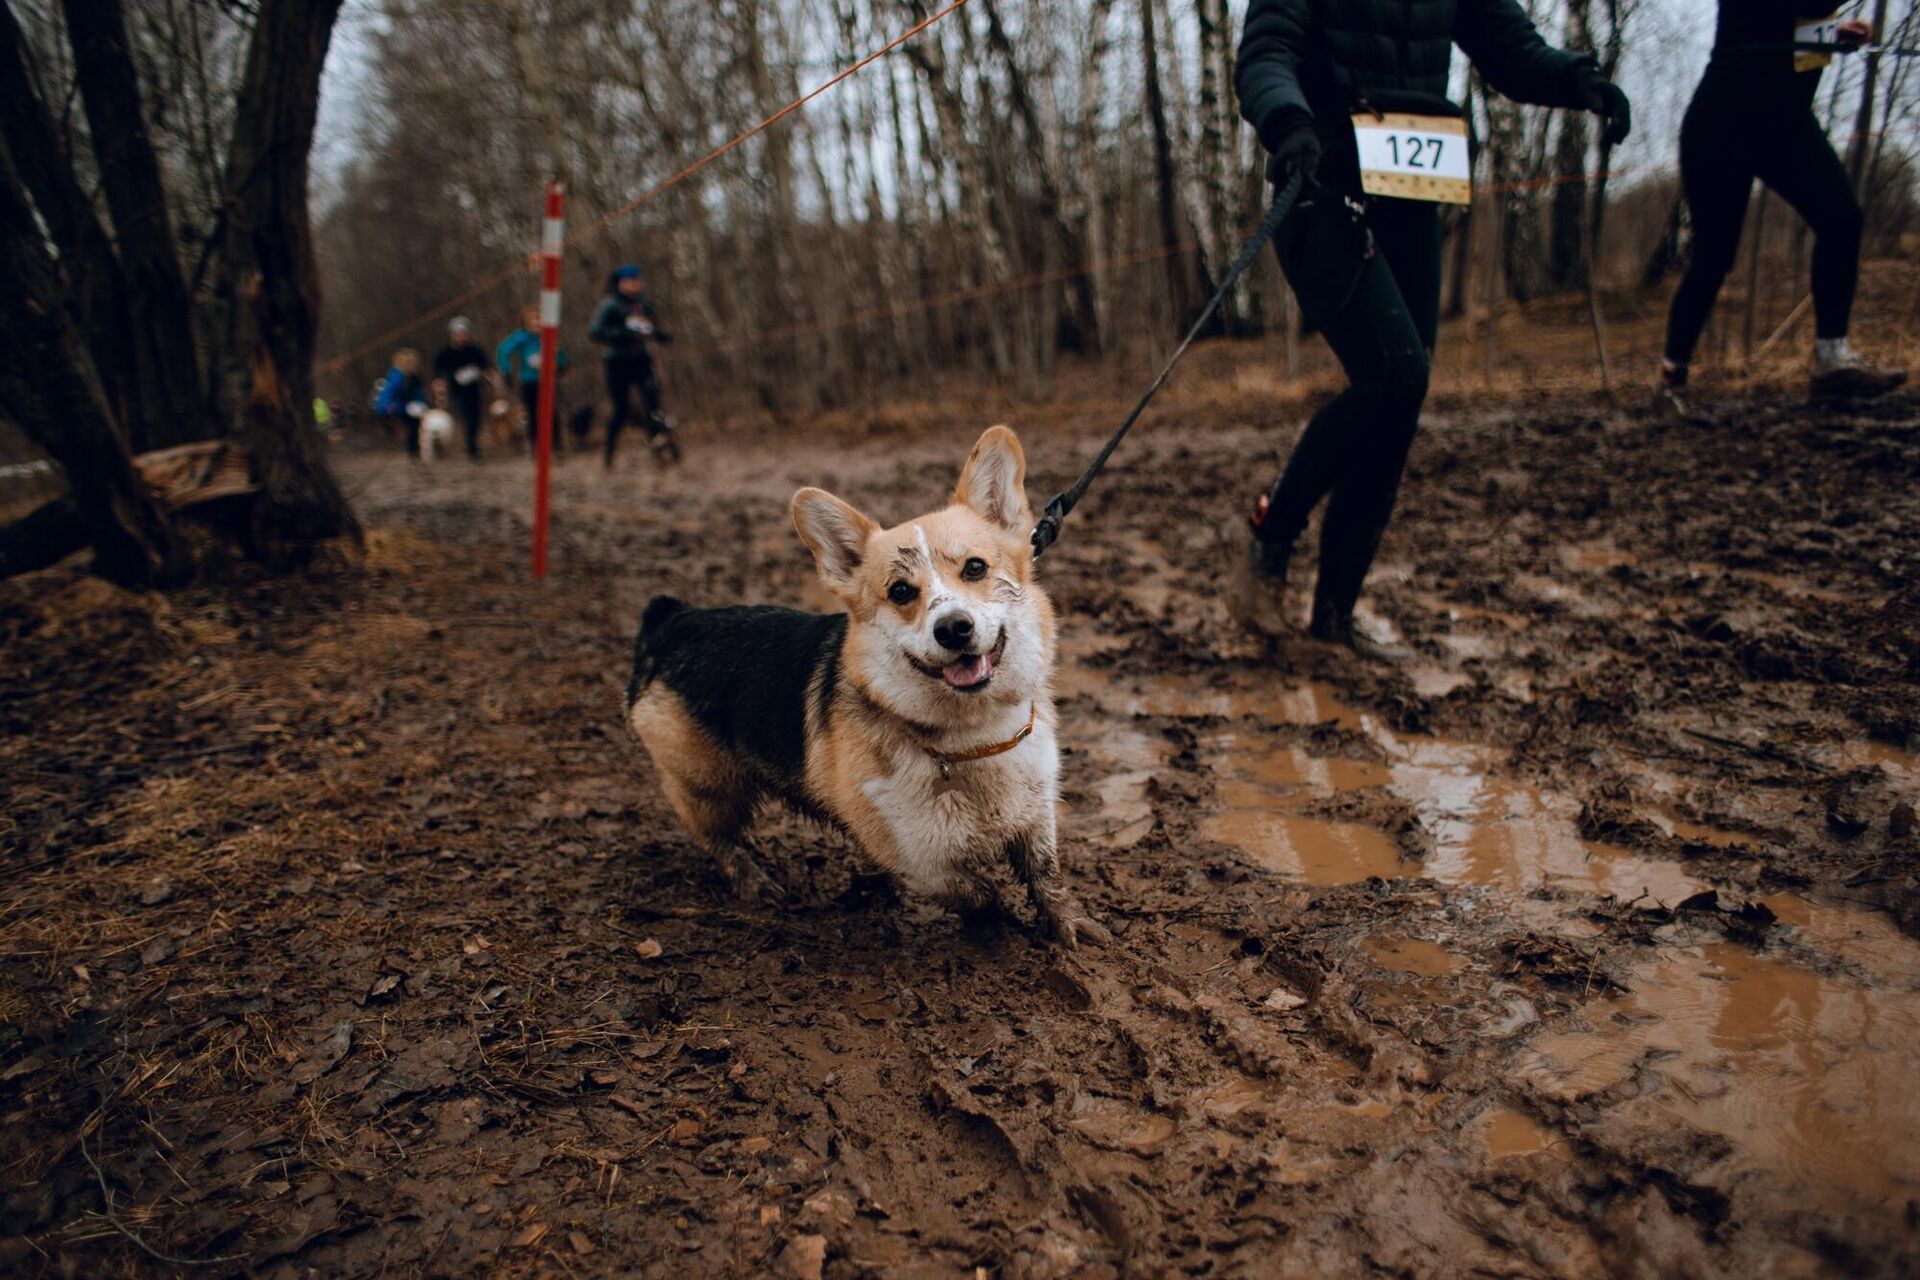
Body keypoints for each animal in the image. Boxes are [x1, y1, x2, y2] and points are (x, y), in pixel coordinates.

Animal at [629, 426, 1113, 948]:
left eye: (975, 568)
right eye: (900, 591)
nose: (953, 628)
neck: (976, 736)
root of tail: (672, 620)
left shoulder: (1036, 815)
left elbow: (1046, 874)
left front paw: (1069, 923)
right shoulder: (912, 854)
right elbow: (976, 891)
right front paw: (995, 926)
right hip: (707, 787)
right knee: (719, 839)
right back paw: (754, 880)